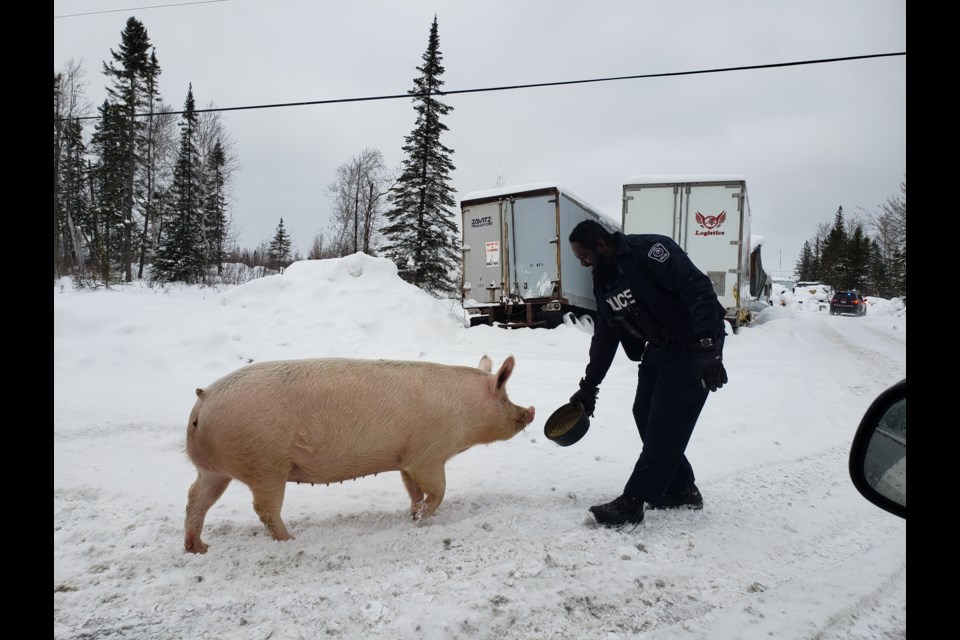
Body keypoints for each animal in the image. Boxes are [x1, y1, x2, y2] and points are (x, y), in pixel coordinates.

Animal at [184, 352, 536, 552]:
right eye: (505, 399)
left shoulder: (406, 459)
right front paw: (420, 517)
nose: (531, 410)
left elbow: (412, 489)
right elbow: (437, 492)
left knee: (195, 499)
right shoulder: (428, 455)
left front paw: (412, 514)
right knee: (263, 509)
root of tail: (203, 402)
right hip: (266, 467)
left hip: (213, 471)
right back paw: (291, 541)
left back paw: (199, 548)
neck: (464, 411)